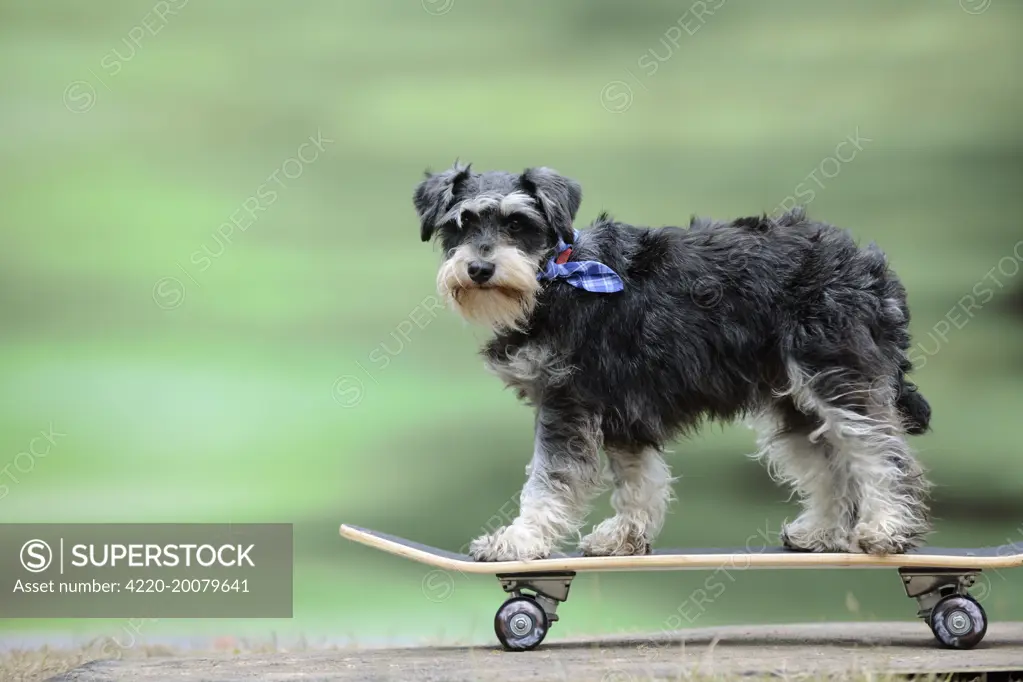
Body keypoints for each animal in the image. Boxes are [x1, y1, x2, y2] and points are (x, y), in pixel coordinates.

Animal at [411, 162, 932, 564]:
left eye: (518, 224)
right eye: (460, 224)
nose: (479, 269)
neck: (555, 277)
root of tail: (871, 268)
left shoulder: (567, 404)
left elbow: (548, 481)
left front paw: (517, 542)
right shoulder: (621, 409)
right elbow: (638, 481)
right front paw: (624, 538)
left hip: (837, 379)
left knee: (882, 453)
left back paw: (887, 529)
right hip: (794, 400)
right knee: (826, 463)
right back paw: (821, 533)